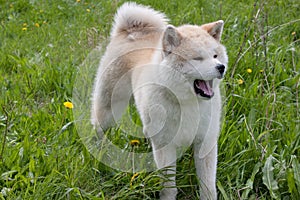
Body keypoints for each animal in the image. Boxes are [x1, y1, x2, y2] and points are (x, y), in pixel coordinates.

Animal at [91, 1, 227, 200]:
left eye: (215, 56)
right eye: (198, 58)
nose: (221, 67)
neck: (187, 104)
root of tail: (129, 30)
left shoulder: (205, 141)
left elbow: (207, 185)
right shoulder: (165, 146)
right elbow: (169, 184)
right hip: (108, 110)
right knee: (98, 130)